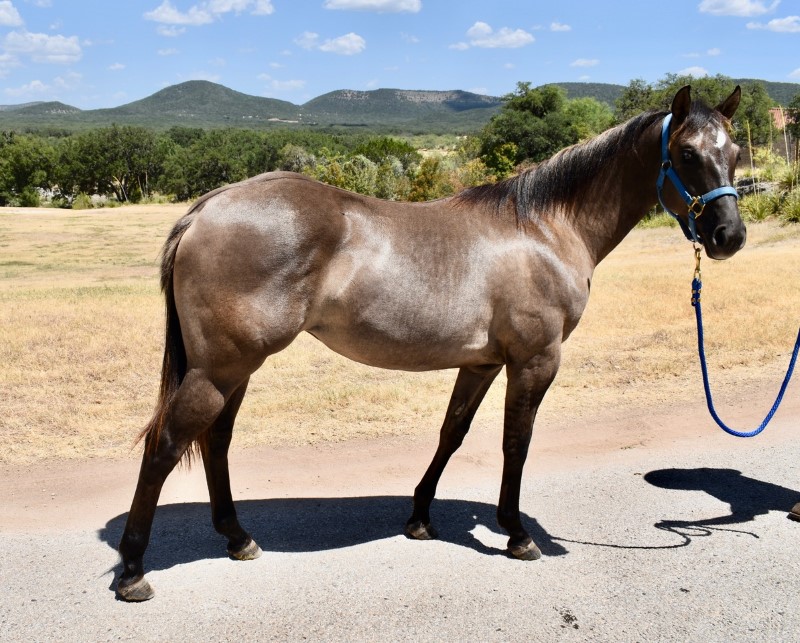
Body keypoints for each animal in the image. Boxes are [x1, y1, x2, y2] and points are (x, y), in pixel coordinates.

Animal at [115, 84, 748, 600]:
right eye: (687, 154)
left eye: (736, 153)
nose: (729, 236)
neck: (544, 228)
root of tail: (205, 210)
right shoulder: (534, 361)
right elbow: (515, 443)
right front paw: (517, 533)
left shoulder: (483, 363)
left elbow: (452, 433)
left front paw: (420, 517)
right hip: (221, 368)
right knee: (166, 446)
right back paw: (133, 570)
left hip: (233, 369)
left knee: (215, 442)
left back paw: (237, 537)